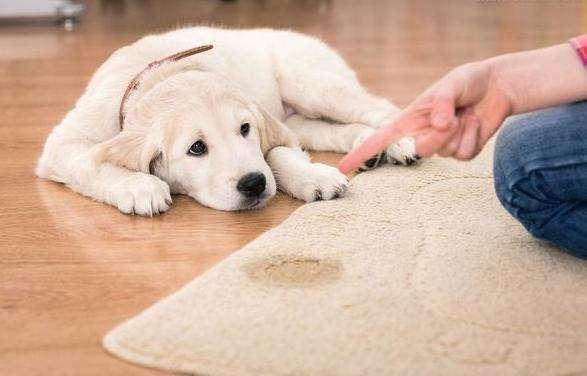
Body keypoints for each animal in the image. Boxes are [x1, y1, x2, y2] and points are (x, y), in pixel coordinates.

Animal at [35, 26, 418, 216]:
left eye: (245, 129)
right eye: (196, 148)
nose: (254, 184)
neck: (159, 75)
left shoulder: (268, 128)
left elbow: (277, 154)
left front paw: (312, 176)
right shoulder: (63, 144)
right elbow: (93, 162)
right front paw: (140, 186)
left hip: (312, 84)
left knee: (379, 107)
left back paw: (399, 143)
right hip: (299, 116)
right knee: (327, 129)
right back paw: (367, 147)